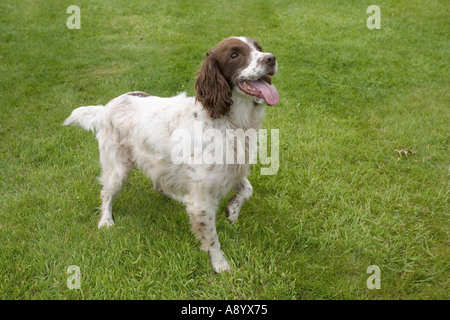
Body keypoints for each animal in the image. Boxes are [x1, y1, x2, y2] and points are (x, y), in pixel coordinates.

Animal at [64, 37, 278, 272]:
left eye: (258, 48)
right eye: (234, 55)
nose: (271, 58)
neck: (228, 122)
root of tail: (105, 107)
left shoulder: (233, 169)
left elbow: (247, 189)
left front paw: (232, 211)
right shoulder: (202, 199)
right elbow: (212, 238)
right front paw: (220, 264)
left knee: (158, 184)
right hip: (117, 169)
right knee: (106, 194)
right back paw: (105, 221)